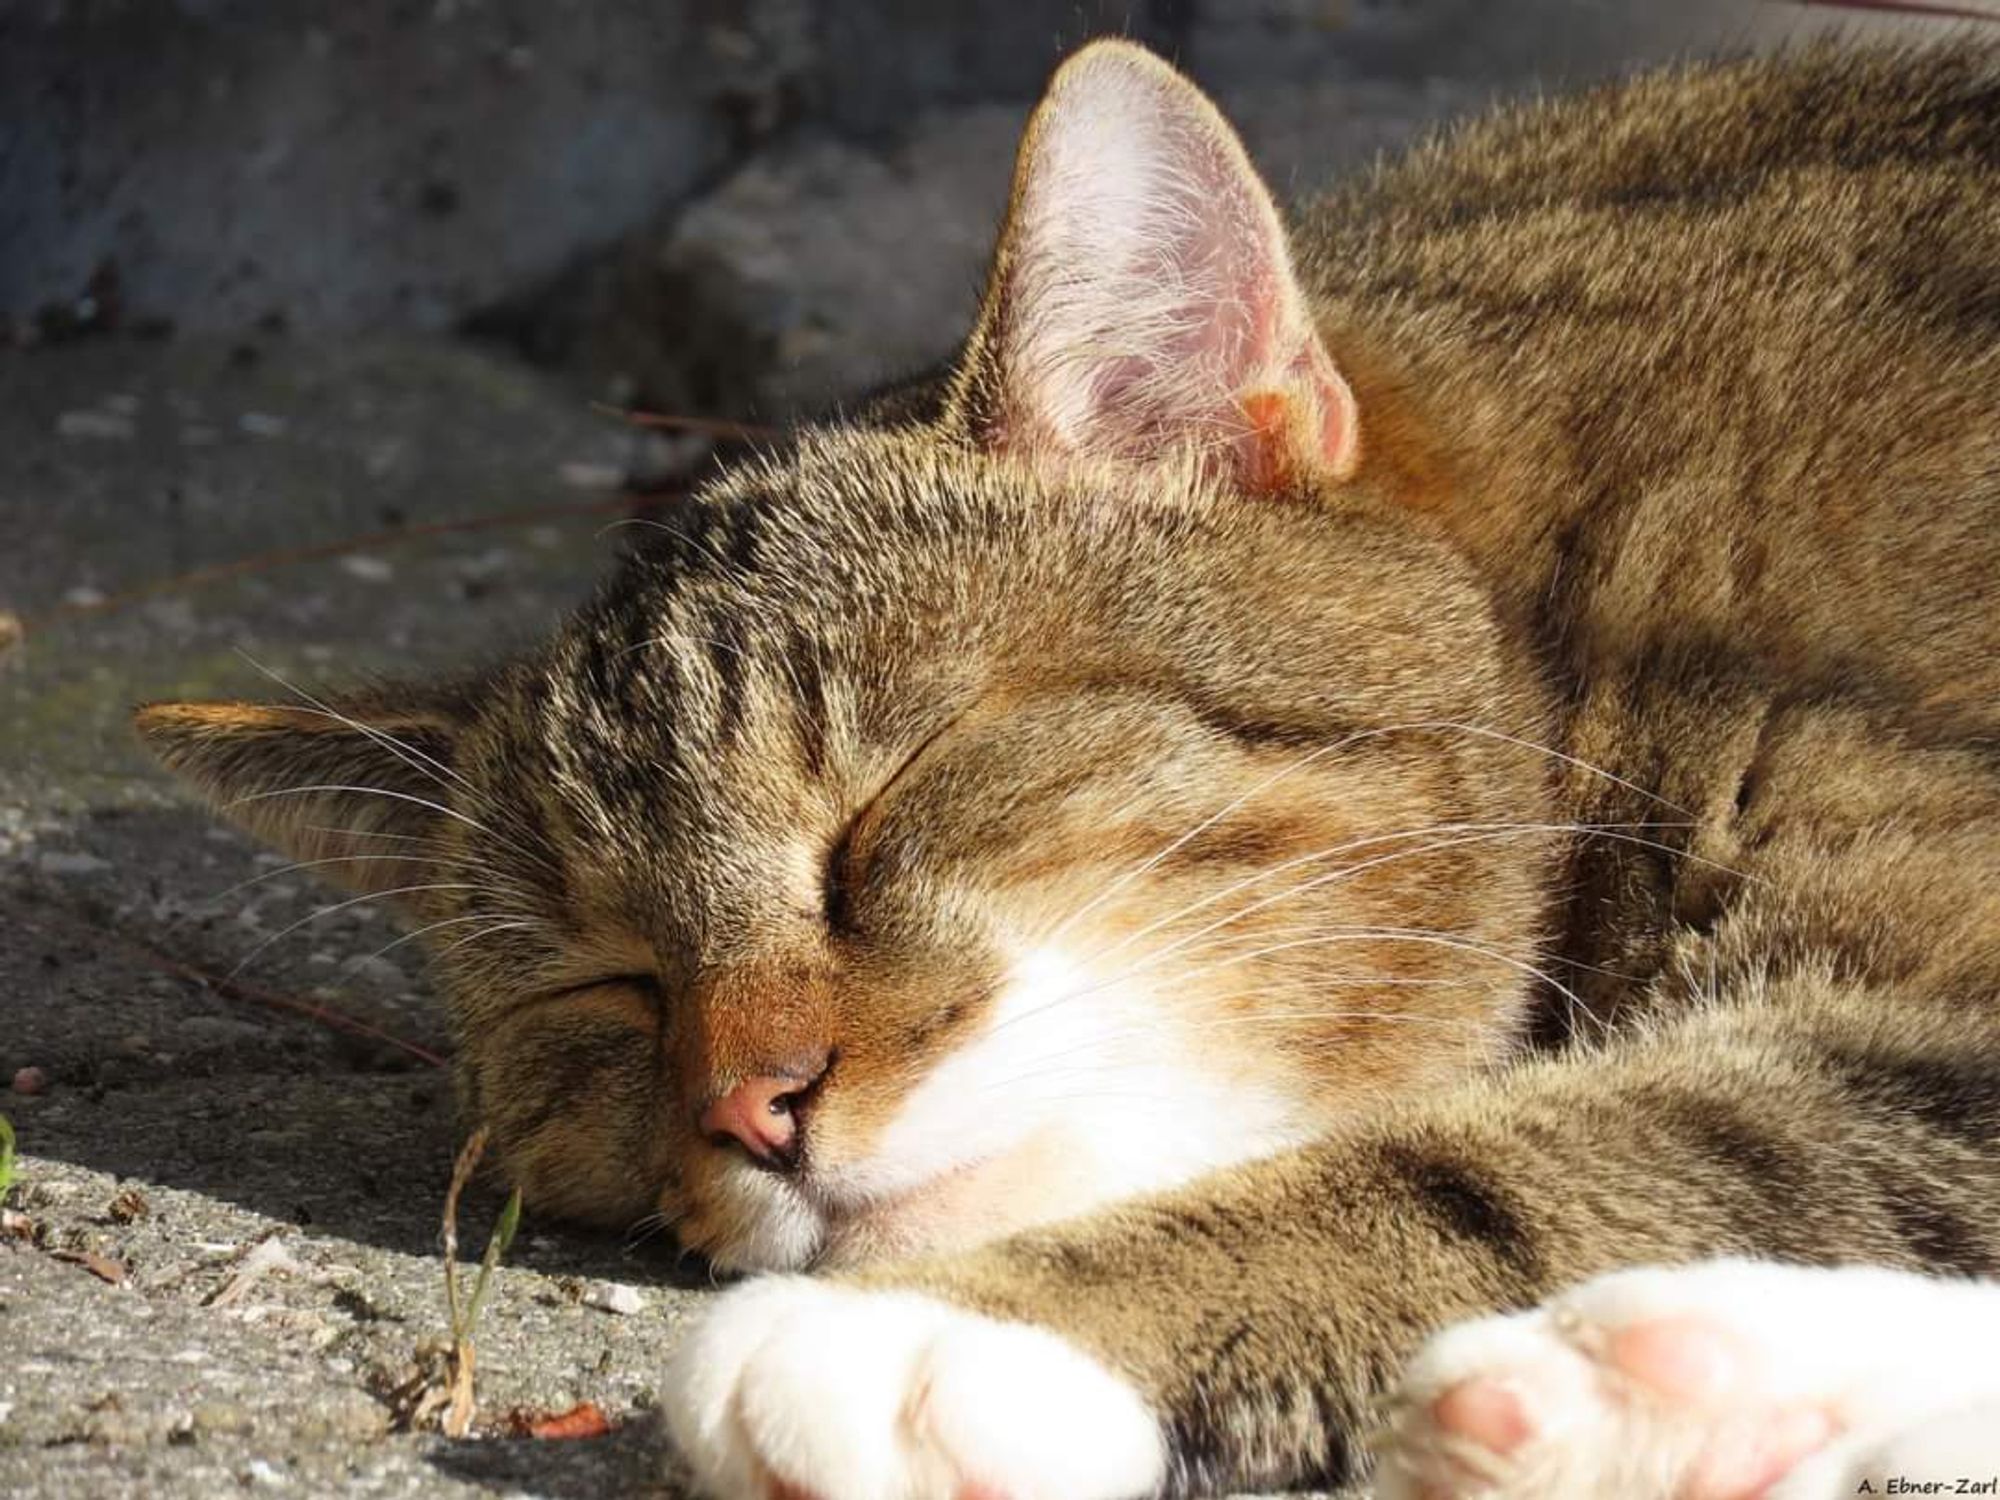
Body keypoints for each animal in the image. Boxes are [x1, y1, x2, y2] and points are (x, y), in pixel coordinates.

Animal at [129, 32, 2000, 1500]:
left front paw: (953, 1334)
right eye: (608, 985)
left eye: (881, 811)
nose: (750, 1105)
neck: (1576, 580)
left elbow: (1583, 1154)